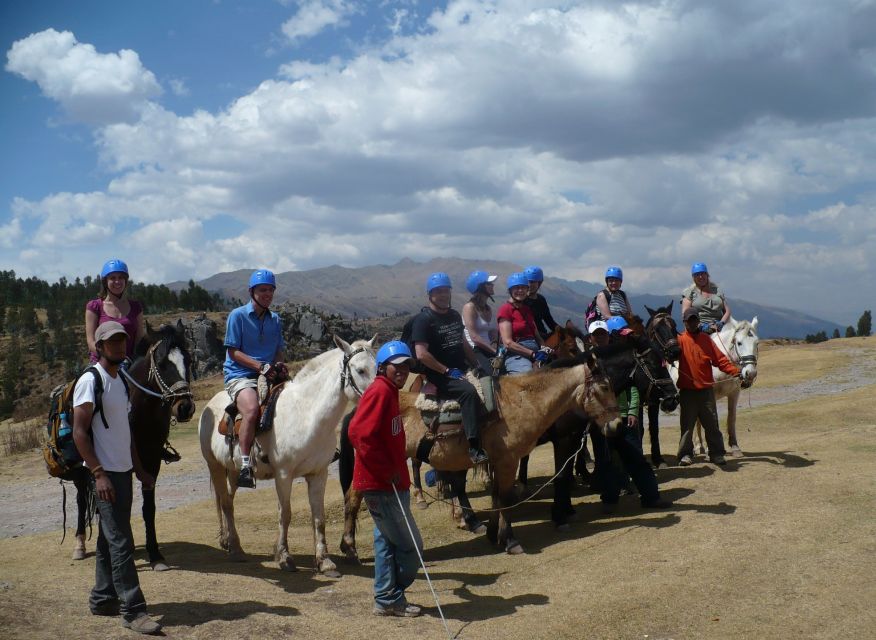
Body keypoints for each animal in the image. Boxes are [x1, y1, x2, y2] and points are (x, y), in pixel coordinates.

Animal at [198, 336, 376, 576]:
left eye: (378, 367)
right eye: (360, 370)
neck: (306, 415)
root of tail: (210, 405)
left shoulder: (318, 474)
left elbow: (319, 517)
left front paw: (324, 561)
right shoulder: (284, 475)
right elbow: (285, 514)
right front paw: (284, 557)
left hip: (233, 471)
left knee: (228, 501)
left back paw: (228, 541)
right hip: (215, 466)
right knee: (225, 503)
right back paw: (235, 549)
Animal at [338, 350, 620, 556]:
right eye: (605, 386)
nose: (616, 424)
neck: (520, 401)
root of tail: (357, 411)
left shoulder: (499, 462)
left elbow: (496, 496)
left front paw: (493, 534)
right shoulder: (509, 461)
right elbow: (505, 498)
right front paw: (511, 541)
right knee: (353, 497)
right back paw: (349, 546)